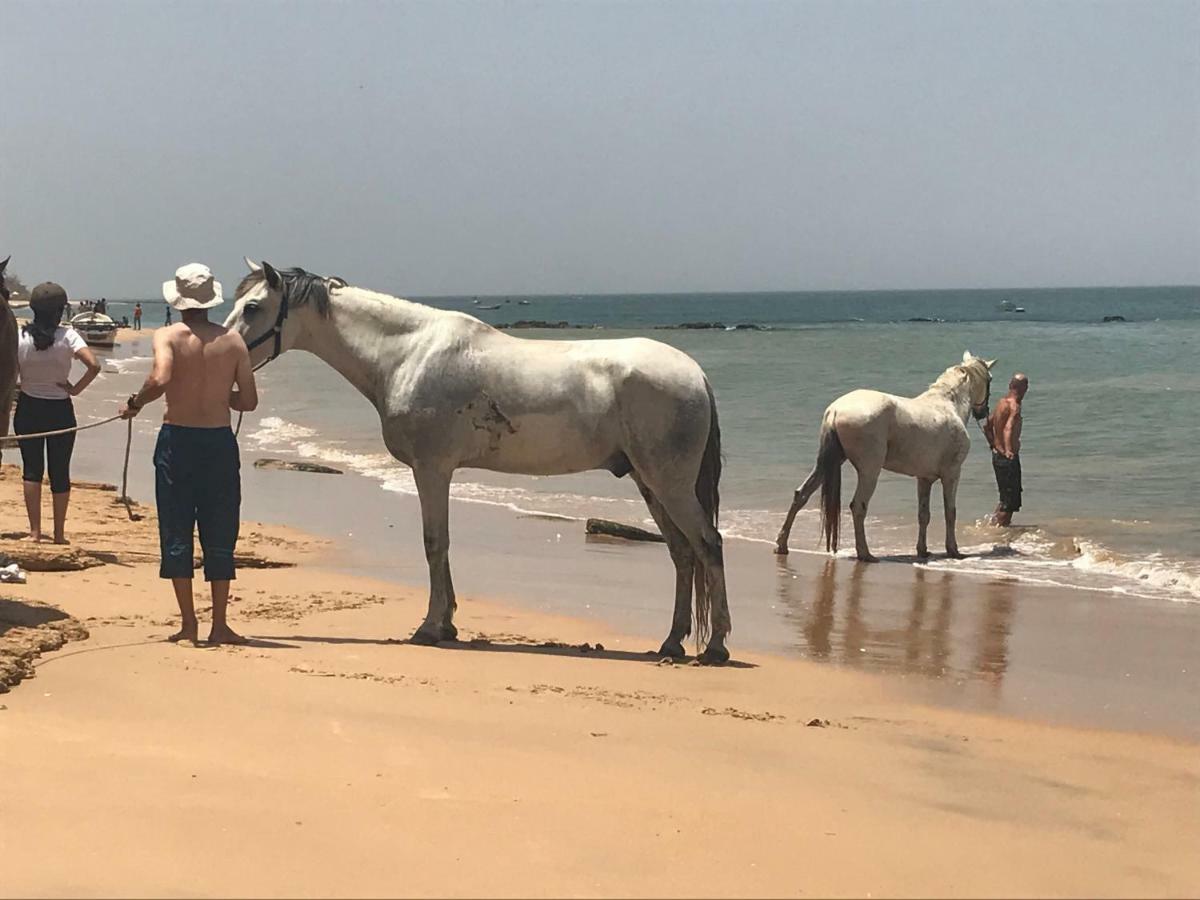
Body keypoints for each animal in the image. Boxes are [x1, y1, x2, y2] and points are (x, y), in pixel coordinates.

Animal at [225, 256, 729, 667]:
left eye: (252, 307)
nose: (223, 350)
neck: (407, 354)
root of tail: (696, 374)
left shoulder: (431, 469)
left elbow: (434, 543)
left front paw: (430, 628)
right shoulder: (439, 472)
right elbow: (442, 546)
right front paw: (447, 623)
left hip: (669, 482)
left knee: (708, 544)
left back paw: (717, 646)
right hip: (649, 481)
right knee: (682, 553)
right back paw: (671, 643)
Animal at [772, 355, 998, 561]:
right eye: (990, 379)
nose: (983, 411)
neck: (948, 405)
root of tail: (835, 410)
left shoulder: (924, 479)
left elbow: (923, 515)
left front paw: (923, 551)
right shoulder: (952, 474)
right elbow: (950, 512)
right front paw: (954, 550)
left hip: (826, 465)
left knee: (801, 495)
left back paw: (782, 544)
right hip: (870, 472)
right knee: (858, 506)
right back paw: (865, 554)